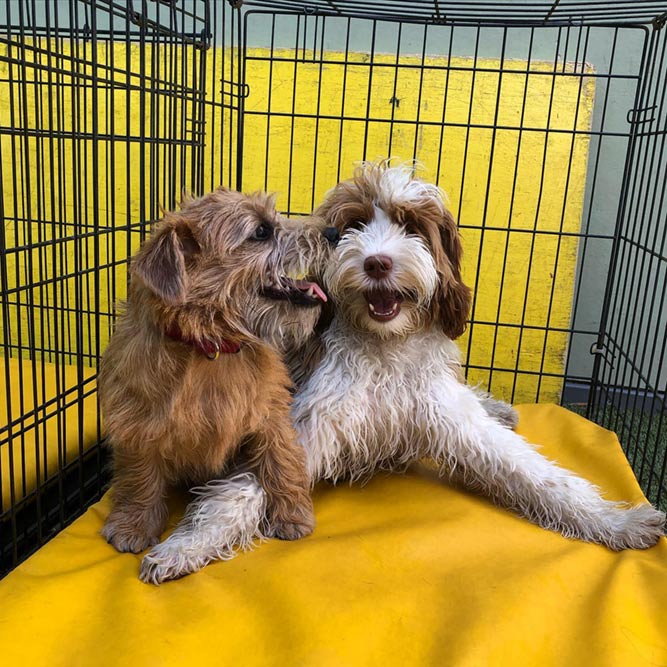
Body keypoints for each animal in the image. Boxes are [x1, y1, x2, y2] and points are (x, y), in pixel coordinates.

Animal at [100, 187, 331, 571]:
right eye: (261, 231)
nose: (333, 231)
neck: (213, 345)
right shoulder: (138, 419)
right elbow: (139, 475)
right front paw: (134, 524)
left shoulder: (270, 414)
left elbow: (281, 459)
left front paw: (292, 513)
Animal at [138, 163, 665, 584]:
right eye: (354, 225)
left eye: (411, 227)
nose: (376, 262)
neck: (386, 348)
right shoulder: (304, 424)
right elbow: (242, 492)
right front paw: (186, 545)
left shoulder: (448, 412)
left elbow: (541, 475)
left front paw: (615, 521)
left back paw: (498, 407)